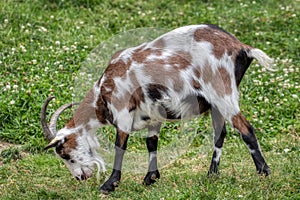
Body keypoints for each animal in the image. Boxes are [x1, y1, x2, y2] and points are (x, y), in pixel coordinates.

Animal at [41, 23, 274, 194]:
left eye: (64, 154)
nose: (80, 177)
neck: (104, 88)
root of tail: (241, 46)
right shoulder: (153, 116)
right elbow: (151, 143)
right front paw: (150, 178)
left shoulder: (122, 113)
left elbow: (120, 145)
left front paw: (110, 184)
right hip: (215, 104)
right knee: (220, 132)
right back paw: (212, 175)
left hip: (222, 92)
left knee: (246, 129)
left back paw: (264, 173)